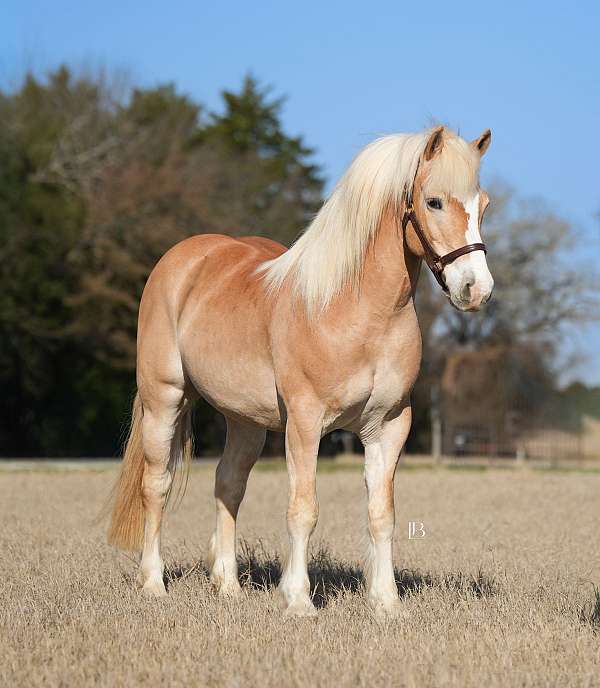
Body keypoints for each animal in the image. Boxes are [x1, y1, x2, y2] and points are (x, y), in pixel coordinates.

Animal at [108, 125, 494, 617]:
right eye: (434, 202)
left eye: (484, 204)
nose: (476, 289)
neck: (355, 309)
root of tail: (182, 259)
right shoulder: (306, 423)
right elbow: (303, 509)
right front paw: (298, 600)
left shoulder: (388, 426)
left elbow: (381, 514)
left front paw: (386, 602)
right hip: (165, 401)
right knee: (156, 485)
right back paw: (154, 583)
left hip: (246, 422)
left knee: (228, 486)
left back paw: (227, 585)